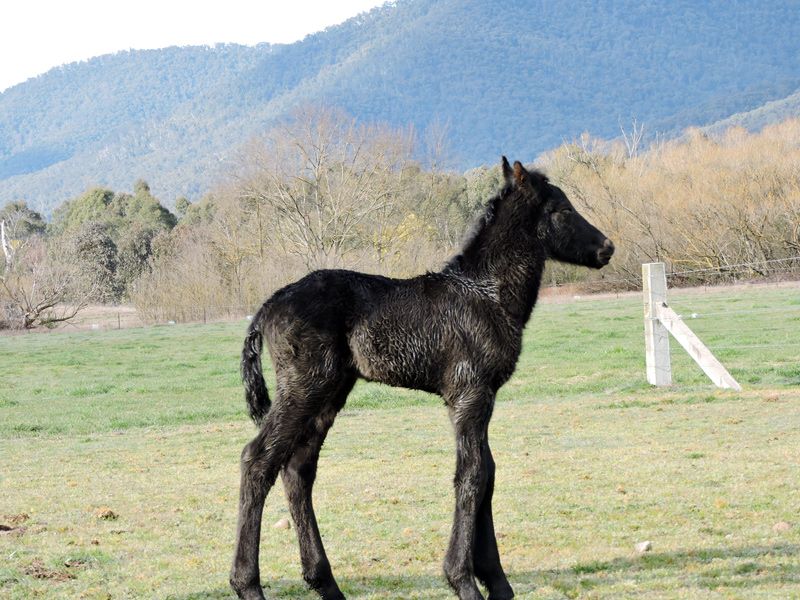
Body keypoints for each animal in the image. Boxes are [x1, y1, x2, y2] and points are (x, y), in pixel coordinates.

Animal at [230, 157, 614, 600]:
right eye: (562, 210)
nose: (607, 247)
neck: (487, 295)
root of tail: (268, 305)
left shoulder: (482, 397)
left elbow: (488, 472)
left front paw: (497, 581)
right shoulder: (469, 394)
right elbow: (472, 475)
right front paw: (463, 580)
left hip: (329, 394)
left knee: (297, 469)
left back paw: (324, 582)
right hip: (304, 387)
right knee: (258, 459)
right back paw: (247, 584)